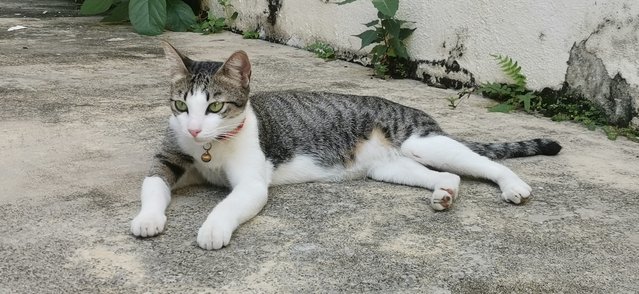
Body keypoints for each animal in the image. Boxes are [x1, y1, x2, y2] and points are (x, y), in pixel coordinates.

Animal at [130, 42, 560, 250]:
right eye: (181, 106)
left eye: (215, 107)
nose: (195, 129)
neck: (211, 150)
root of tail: (411, 108)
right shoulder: (167, 157)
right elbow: (153, 185)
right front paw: (149, 218)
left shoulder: (252, 183)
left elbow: (229, 203)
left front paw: (213, 228)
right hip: (388, 166)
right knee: (447, 175)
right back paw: (444, 192)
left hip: (424, 142)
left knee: (482, 163)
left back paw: (513, 186)